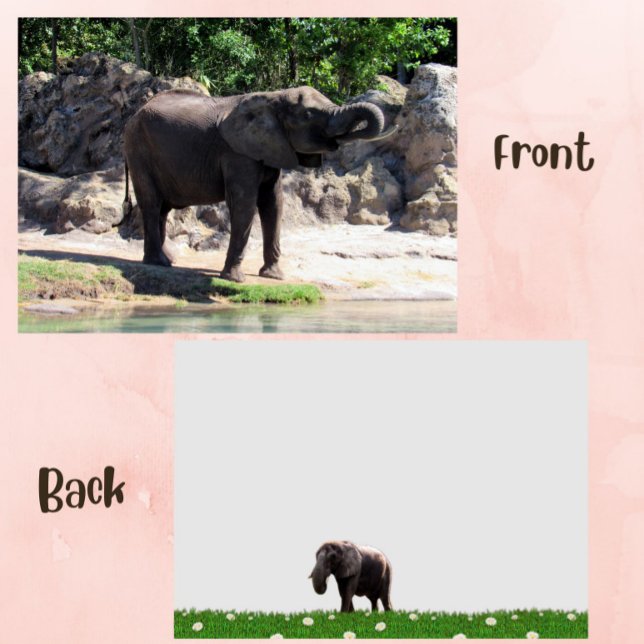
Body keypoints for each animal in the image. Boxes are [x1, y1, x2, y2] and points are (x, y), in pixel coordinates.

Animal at [122, 86, 395, 282]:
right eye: (308, 115)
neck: (274, 98)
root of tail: (133, 115)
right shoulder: (238, 154)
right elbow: (245, 204)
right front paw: (235, 279)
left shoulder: (270, 148)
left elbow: (274, 203)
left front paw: (274, 276)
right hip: (138, 150)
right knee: (152, 204)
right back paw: (158, 262)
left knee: (162, 208)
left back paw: (167, 261)